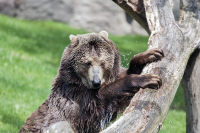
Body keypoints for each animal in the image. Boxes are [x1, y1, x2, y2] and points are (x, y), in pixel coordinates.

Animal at [19, 30, 164, 132]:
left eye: (103, 63)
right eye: (87, 63)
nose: (96, 82)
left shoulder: (111, 77)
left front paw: (151, 54)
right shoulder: (78, 96)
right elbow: (103, 98)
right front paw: (149, 79)